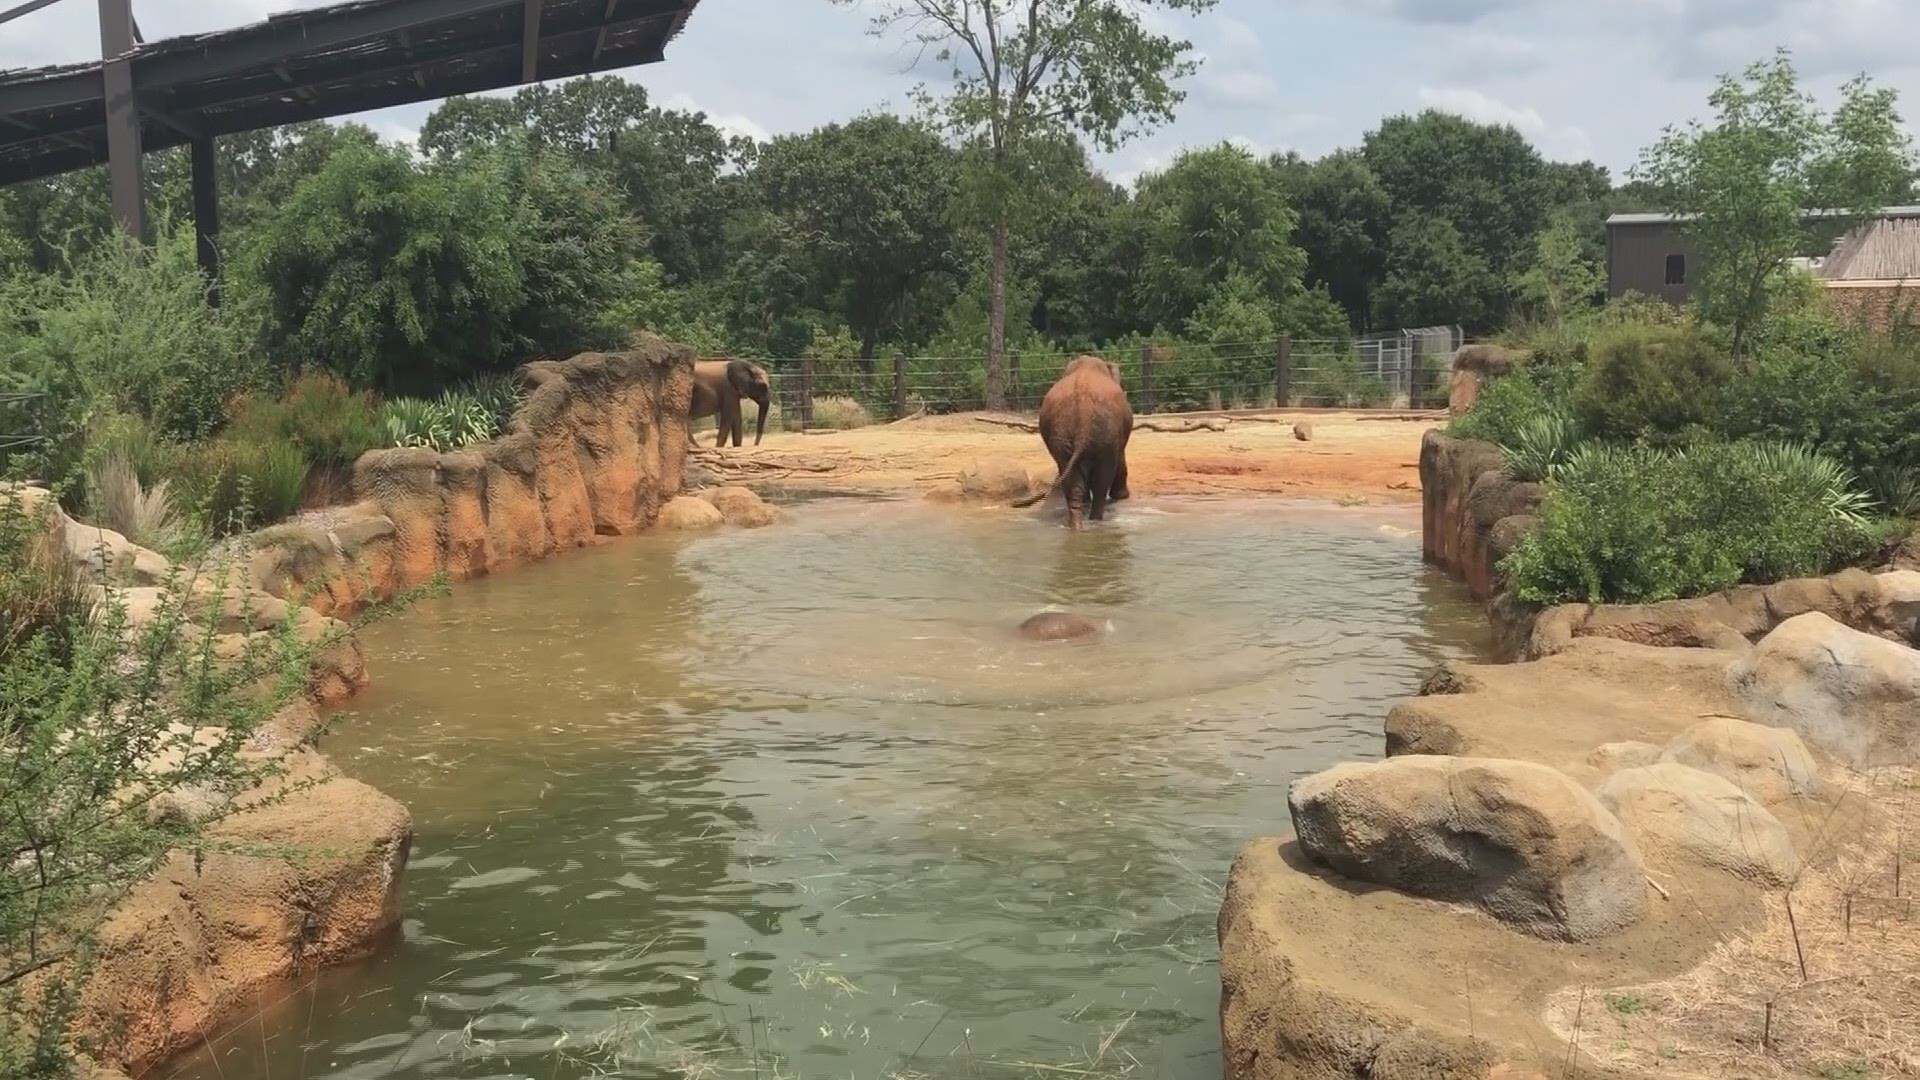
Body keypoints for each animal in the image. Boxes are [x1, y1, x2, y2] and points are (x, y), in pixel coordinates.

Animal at [1013, 353, 1128, 526]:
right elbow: (1120, 455)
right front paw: (1122, 497)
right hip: (1105, 434)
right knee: (1101, 481)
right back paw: (1095, 519)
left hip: (1062, 436)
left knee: (1072, 480)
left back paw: (1077, 523)